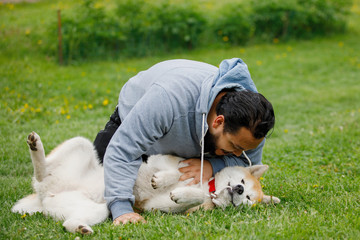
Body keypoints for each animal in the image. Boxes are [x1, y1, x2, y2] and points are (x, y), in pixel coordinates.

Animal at [11, 132, 280, 233]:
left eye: (248, 199)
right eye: (243, 181)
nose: (240, 188)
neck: (209, 187)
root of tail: (44, 195)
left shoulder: (157, 207)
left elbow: (191, 197)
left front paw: (183, 194)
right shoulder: (162, 162)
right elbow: (174, 173)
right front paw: (165, 180)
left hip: (98, 210)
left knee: (67, 221)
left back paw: (80, 229)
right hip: (81, 144)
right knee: (42, 171)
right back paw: (36, 147)